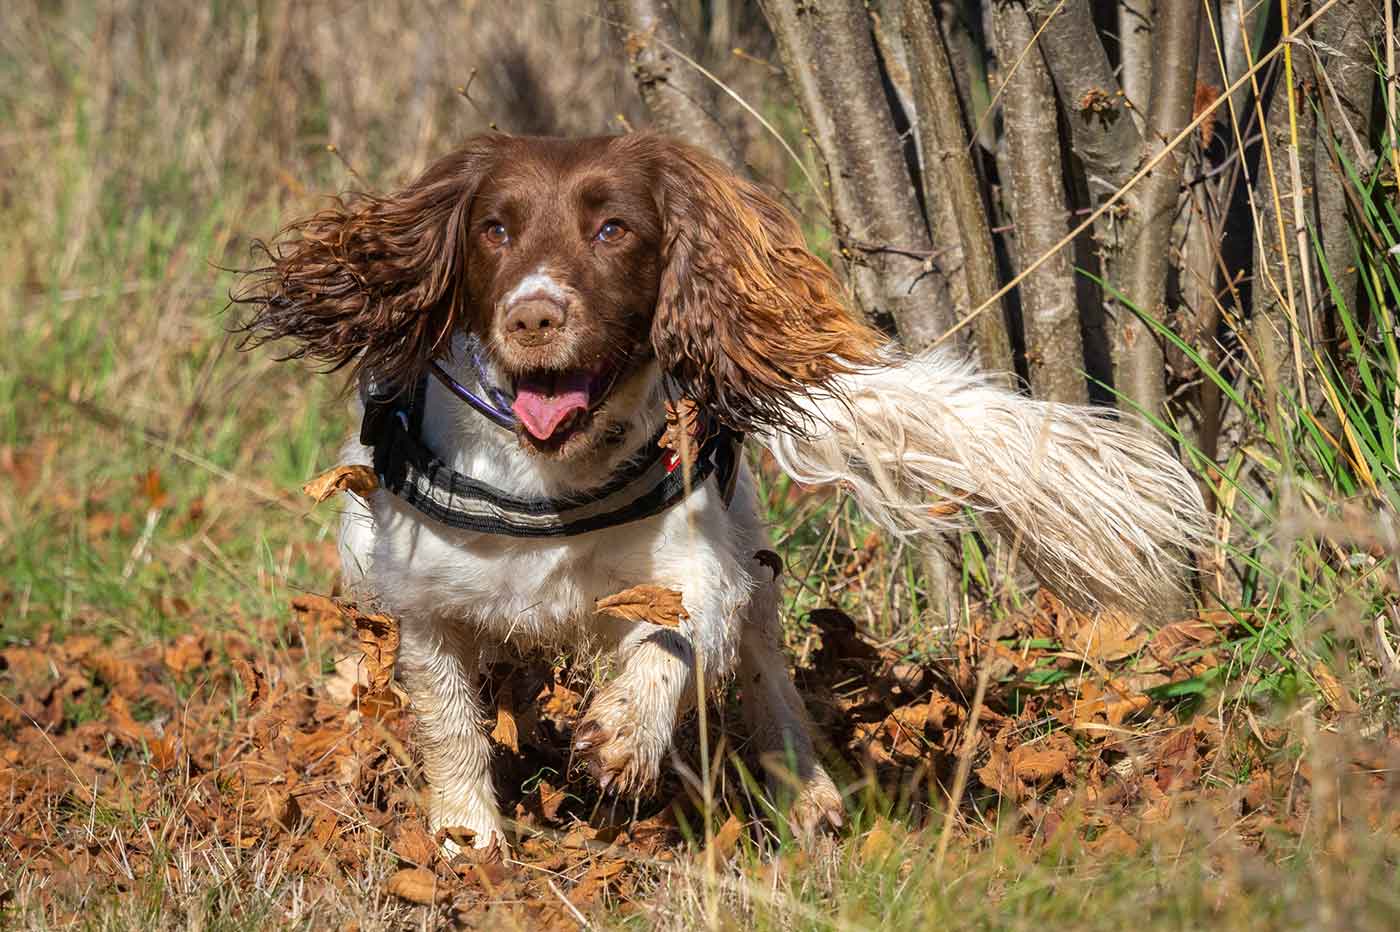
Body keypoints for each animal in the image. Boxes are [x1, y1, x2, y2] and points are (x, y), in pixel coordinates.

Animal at [235, 130, 1209, 850]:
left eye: (613, 229)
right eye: (494, 231)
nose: (533, 315)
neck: (550, 476)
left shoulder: (704, 564)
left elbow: (673, 639)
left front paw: (623, 739)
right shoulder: (424, 599)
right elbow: (450, 724)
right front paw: (466, 846)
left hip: (756, 565)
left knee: (768, 679)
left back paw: (809, 798)